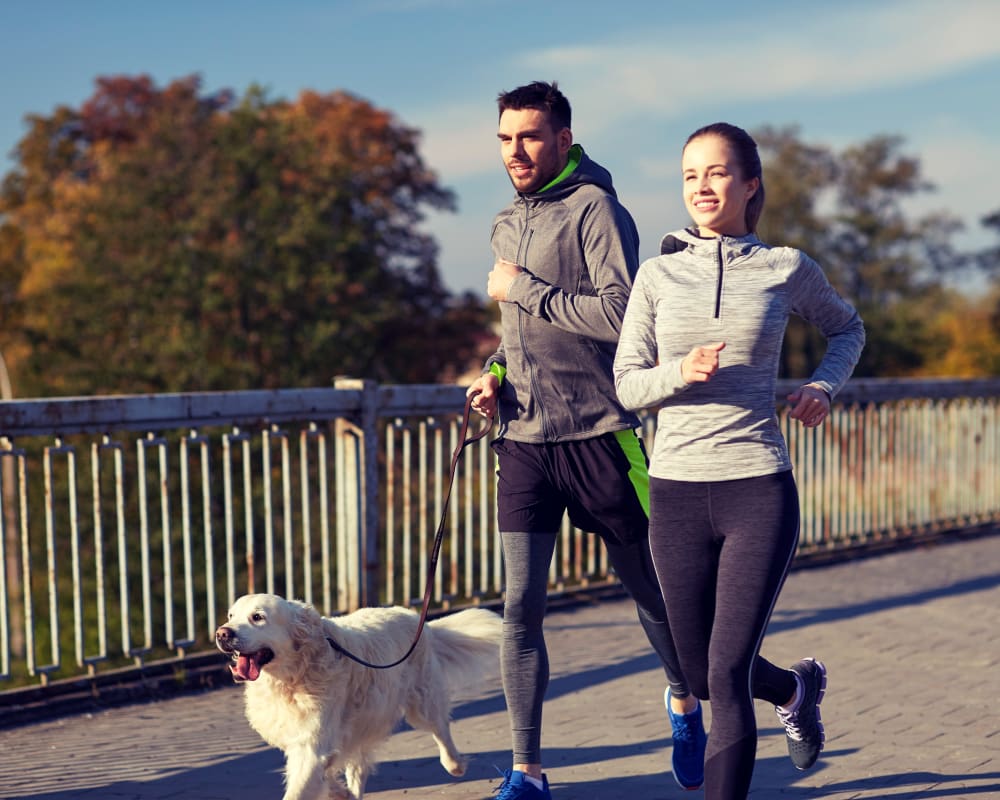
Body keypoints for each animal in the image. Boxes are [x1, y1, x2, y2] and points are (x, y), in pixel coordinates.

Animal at [216, 592, 504, 800]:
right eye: (231, 615)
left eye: (257, 617)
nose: (222, 633)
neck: (292, 677)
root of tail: (417, 620)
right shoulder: (308, 741)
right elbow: (322, 773)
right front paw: (337, 790)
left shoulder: (312, 743)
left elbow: (301, 787)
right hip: (362, 725)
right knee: (358, 768)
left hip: (421, 702)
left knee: (441, 729)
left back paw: (455, 764)